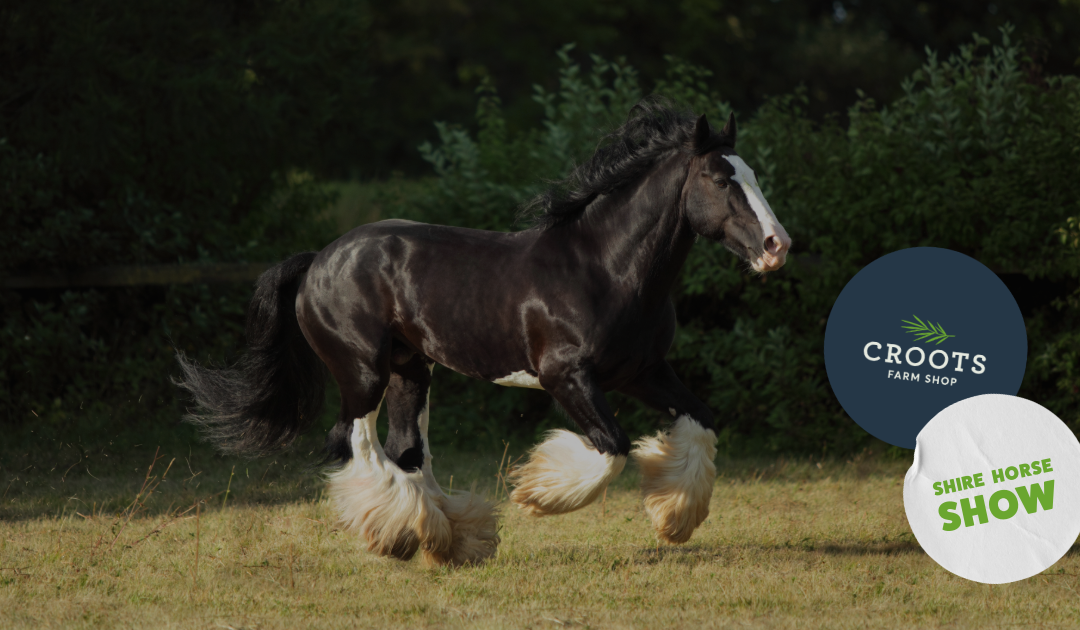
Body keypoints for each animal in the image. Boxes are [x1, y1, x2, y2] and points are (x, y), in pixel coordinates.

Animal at [175, 99, 791, 567]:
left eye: (755, 176)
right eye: (720, 179)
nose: (776, 245)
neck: (606, 268)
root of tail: (318, 260)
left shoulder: (642, 372)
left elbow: (700, 421)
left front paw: (674, 521)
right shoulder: (566, 376)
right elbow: (612, 447)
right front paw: (536, 495)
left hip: (410, 370)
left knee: (406, 450)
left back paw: (446, 539)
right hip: (362, 372)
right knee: (355, 442)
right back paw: (399, 536)